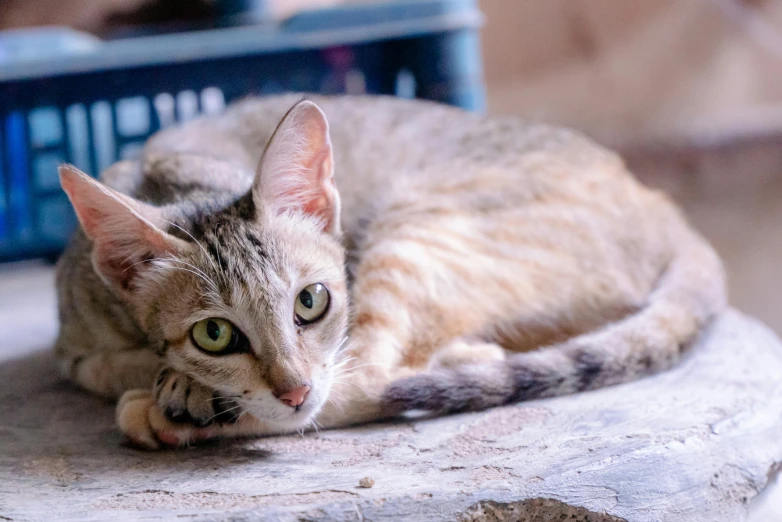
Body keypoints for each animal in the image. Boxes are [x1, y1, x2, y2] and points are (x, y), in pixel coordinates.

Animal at [55, 93, 728, 446]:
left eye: (310, 301)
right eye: (214, 334)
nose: (294, 388)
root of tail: (664, 206)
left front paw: (185, 393)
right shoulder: (73, 350)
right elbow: (104, 366)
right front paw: (181, 381)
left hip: (417, 232)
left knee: (368, 383)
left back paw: (172, 418)